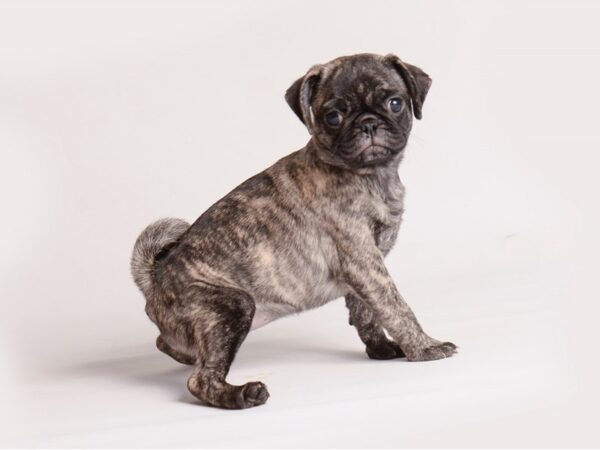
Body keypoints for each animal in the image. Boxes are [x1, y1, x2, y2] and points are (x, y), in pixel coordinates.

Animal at [134, 52, 458, 408]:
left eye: (395, 103)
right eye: (333, 117)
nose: (368, 123)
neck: (371, 175)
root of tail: (154, 279)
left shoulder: (362, 272)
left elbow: (366, 312)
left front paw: (381, 348)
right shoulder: (364, 262)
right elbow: (396, 307)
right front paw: (425, 347)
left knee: (171, 346)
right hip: (233, 305)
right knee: (200, 380)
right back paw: (242, 394)